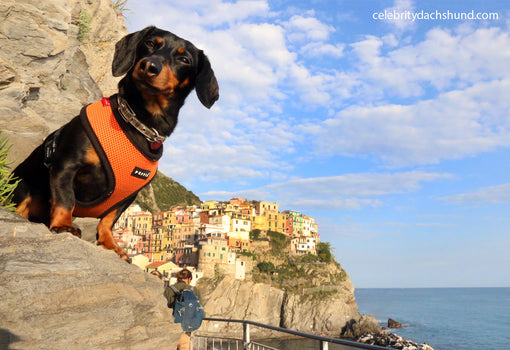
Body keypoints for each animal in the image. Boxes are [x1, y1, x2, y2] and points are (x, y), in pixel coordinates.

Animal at [11, 26, 218, 260]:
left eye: (184, 59)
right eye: (150, 43)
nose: (149, 65)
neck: (137, 123)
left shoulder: (128, 195)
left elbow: (109, 220)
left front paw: (110, 243)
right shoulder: (66, 165)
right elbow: (65, 199)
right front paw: (63, 225)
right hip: (22, 190)